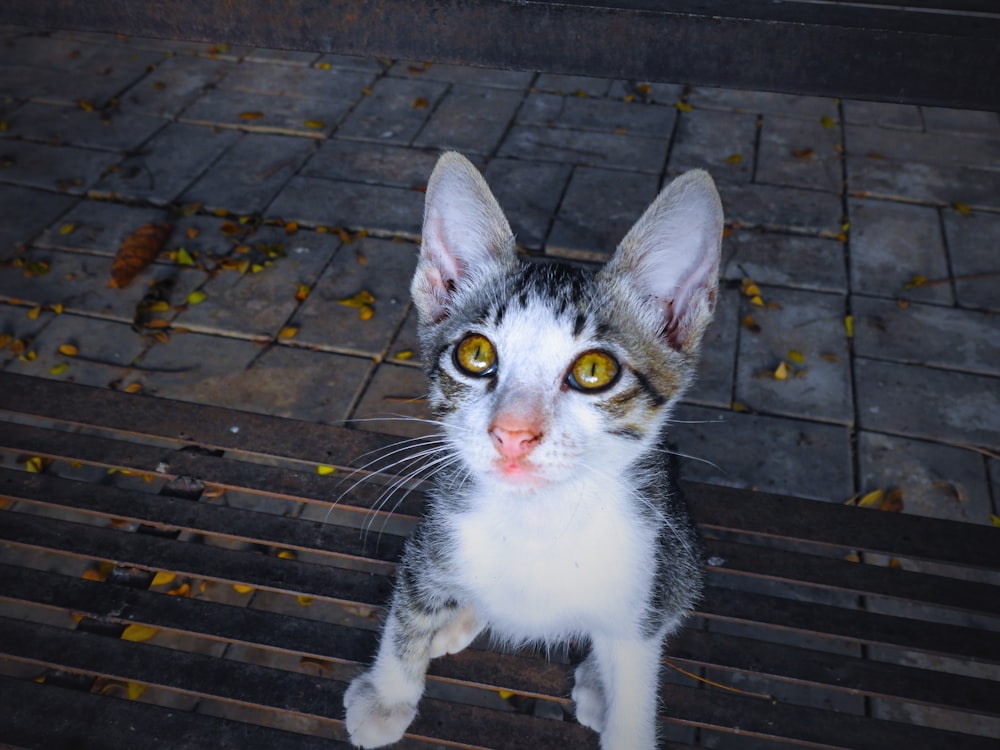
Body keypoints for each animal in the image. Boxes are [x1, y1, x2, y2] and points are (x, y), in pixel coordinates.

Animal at [342, 153, 720, 750]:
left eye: (594, 370)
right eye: (476, 354)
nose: (513, 432)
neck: (539, 519)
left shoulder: (650, 565)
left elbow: (636, 669)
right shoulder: (435, 534)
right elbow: (410, 609)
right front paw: (388, 694)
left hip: (678, 558)